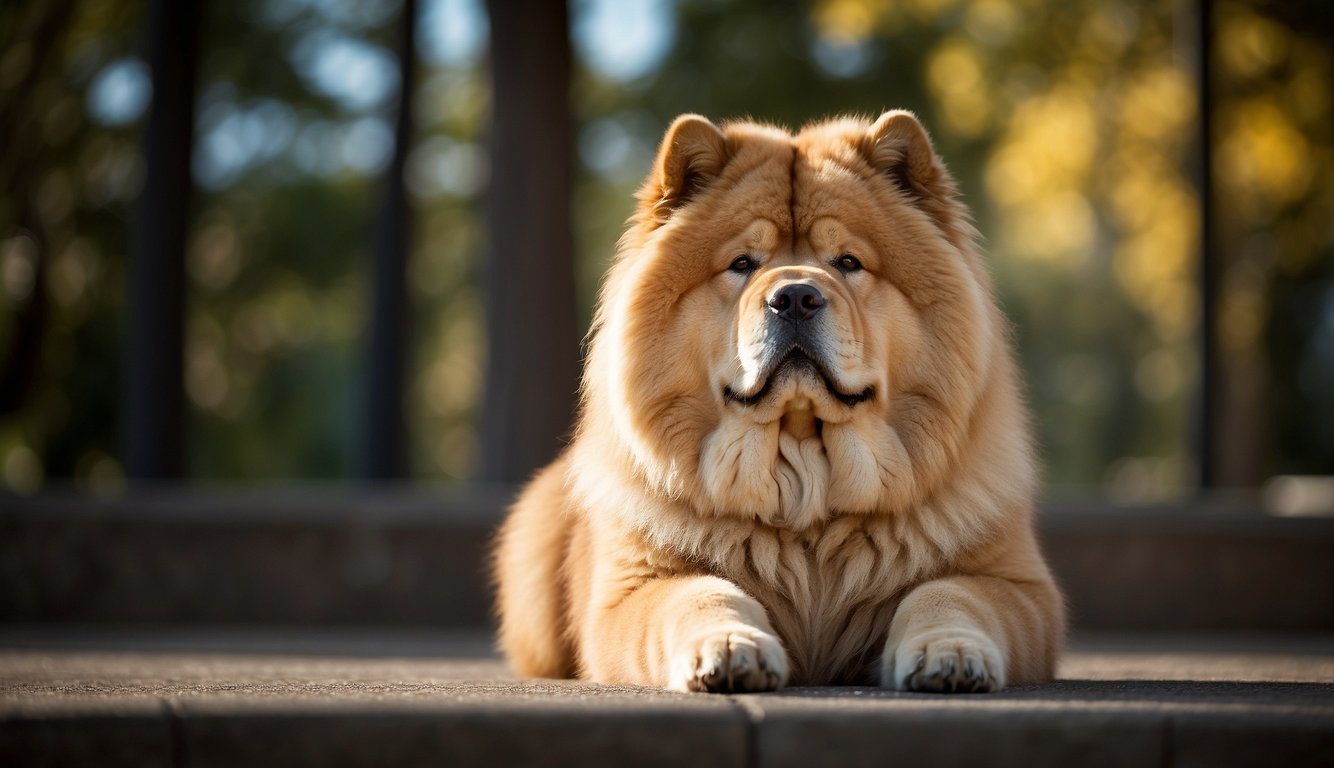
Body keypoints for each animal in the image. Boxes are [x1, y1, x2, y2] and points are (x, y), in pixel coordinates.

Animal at [496, 110, 1067, 693]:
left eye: (848, 262)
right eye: (743, 263)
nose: (794, 295)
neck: (803, 476)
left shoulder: (1015, 585)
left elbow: (949, 593)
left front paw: (950, 654)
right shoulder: (632, 589)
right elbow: (701, 593)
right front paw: (730, 650)